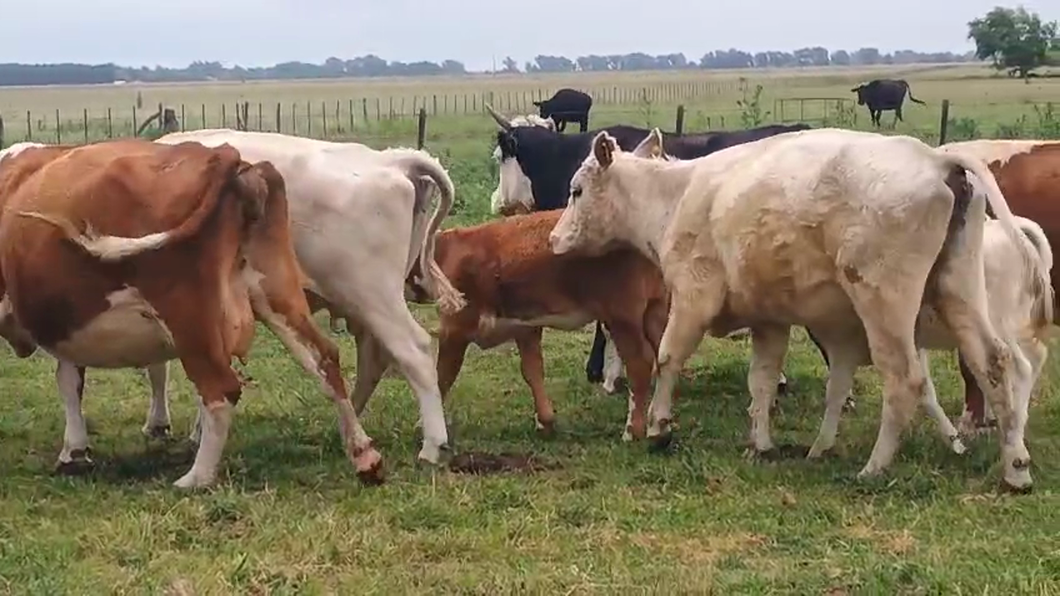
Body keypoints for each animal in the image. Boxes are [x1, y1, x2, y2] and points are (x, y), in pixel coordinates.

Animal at [0, 139, 384, 489]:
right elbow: (71, 378)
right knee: (325, 360)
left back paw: (196, 478)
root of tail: (225, 156)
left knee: (221, 389)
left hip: (189, 316)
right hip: (277, 292)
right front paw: (75, 452)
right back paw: (363, 454)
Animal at [390, 209, 669, 440]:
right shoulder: (525, 327)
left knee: (641, 363)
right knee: (665, 357)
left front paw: (423, 426)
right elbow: (532, 370)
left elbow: (442, 377)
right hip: (656, 310)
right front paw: (545, 422)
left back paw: (633, 431)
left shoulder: (455, 329)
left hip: (623, 317)